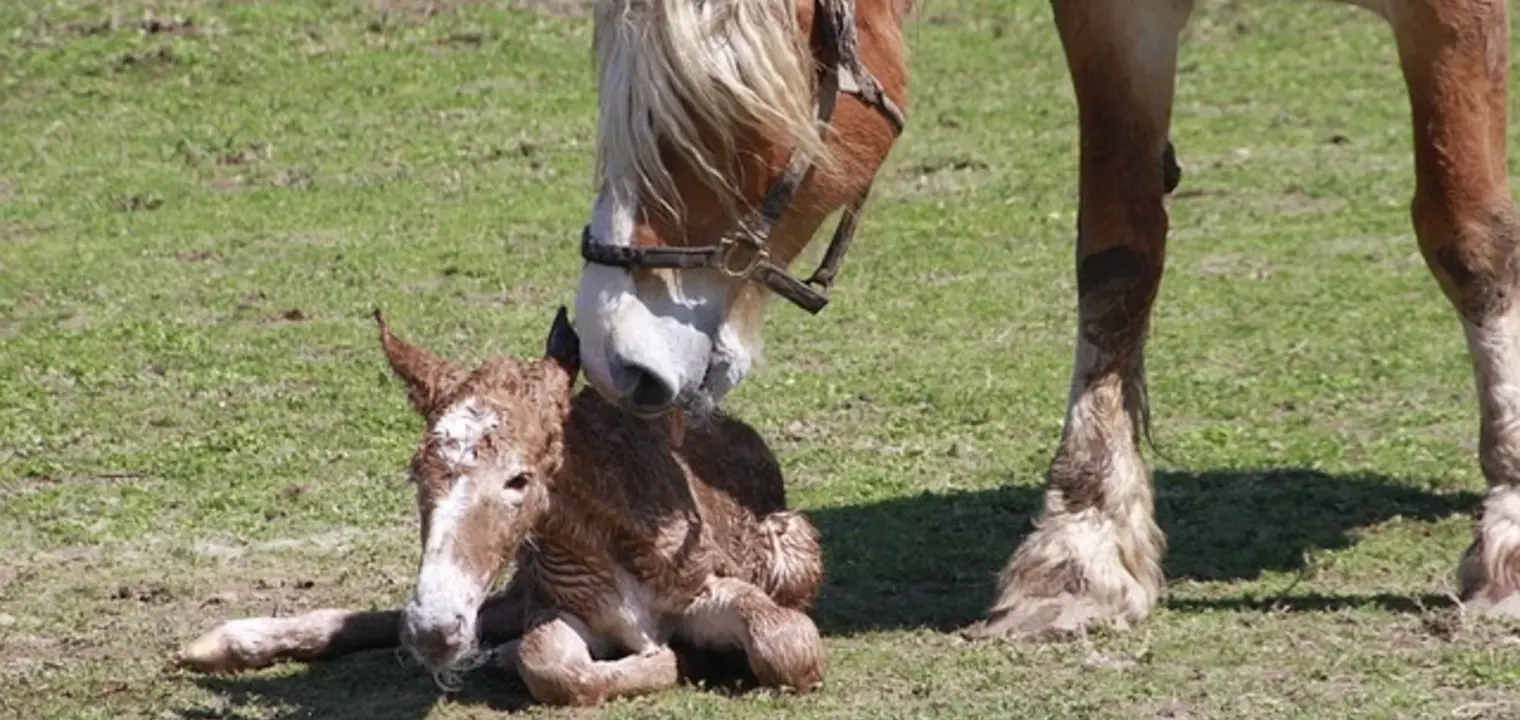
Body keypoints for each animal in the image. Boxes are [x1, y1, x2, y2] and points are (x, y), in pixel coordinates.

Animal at [568, 0, 1520, 641]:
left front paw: (1506, 533)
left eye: (714, 119)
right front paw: (1082, 546)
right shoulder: (1117, 20)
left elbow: (1471, 237)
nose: (614, 357)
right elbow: (1117, 258)